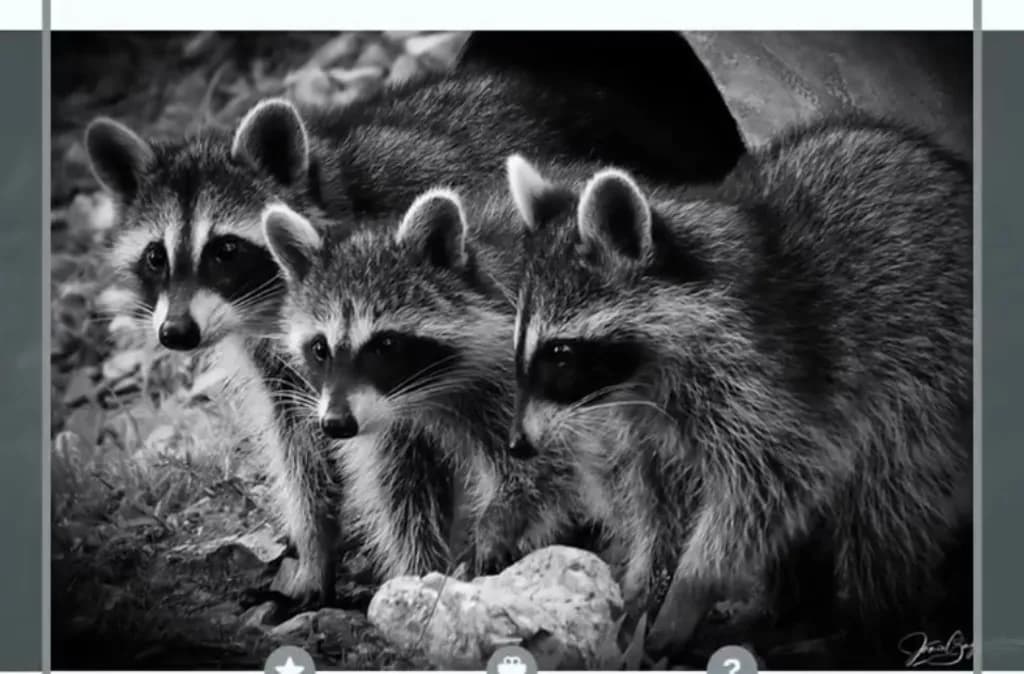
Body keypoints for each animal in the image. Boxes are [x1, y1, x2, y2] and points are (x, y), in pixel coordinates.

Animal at [475, 116, 973, 661]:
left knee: (889, 502)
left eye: (560, 354)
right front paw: (642, 587)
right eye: (521, 348)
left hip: (932, 382)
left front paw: (689, 589)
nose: (518, 445)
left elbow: (766, 487)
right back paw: (789, 606)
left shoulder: (769, 381)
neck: (643, 374)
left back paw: (869, 625)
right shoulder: (642, 422)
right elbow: (654, 502)